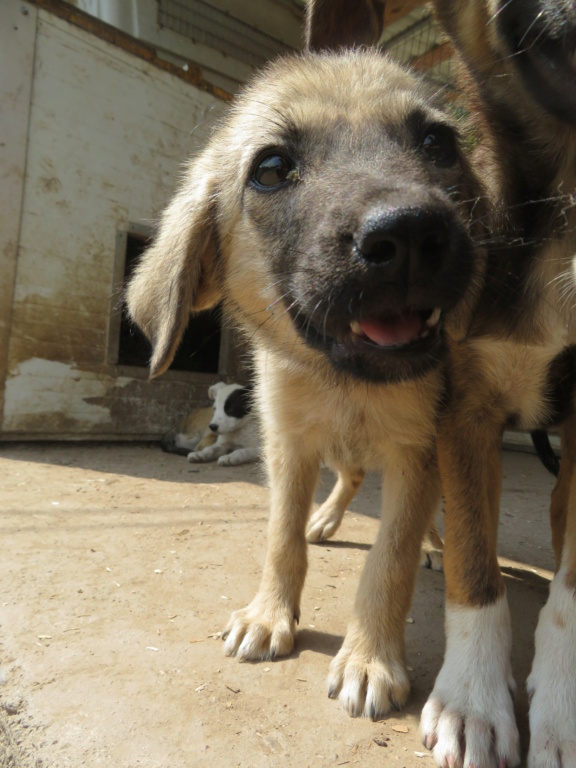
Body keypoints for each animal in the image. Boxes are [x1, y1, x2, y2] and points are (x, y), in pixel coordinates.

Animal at [125, 48, 486, 720]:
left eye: (438, 143)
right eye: (270, 169)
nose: (407, 233)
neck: (343, 385)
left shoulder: (417, 450)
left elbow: (390, 558)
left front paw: (370, 657)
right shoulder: (287, 444)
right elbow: (281, 538)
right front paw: (270, 615)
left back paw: (435, 544)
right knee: (350, 476)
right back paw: (327, 519)